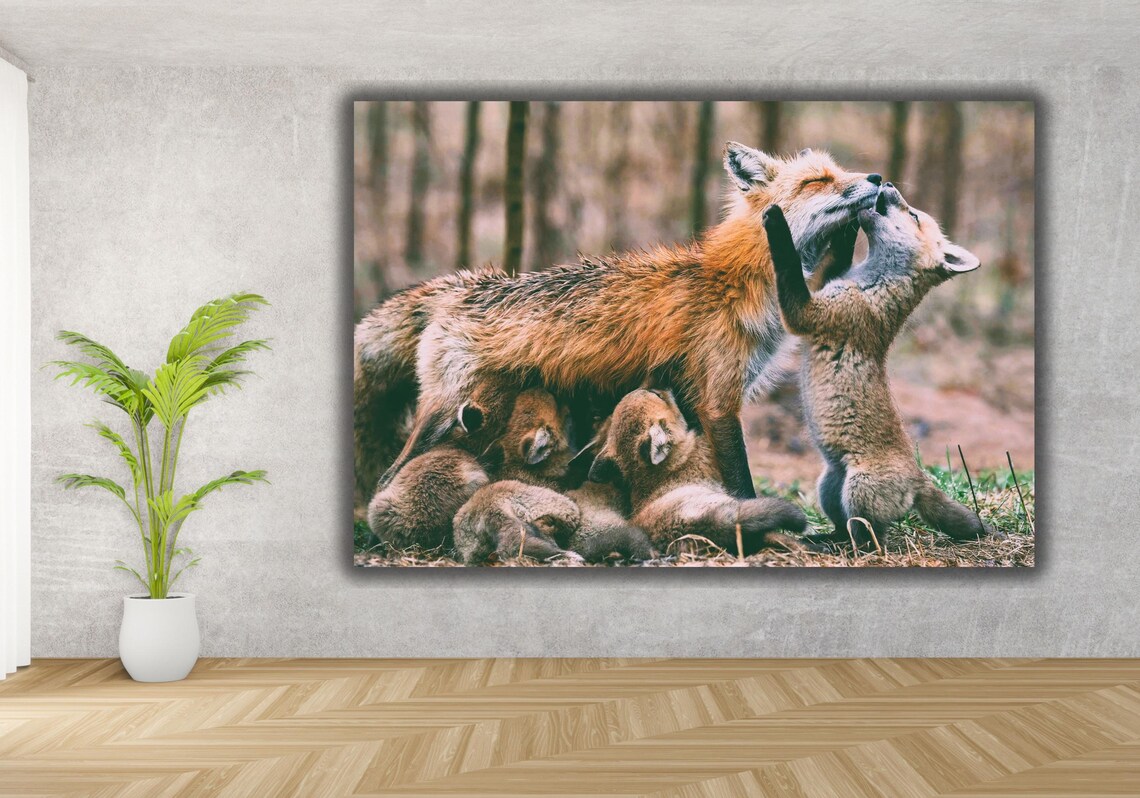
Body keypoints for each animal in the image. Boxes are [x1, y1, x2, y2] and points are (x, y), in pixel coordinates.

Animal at [370, 144, 883, 501]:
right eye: (818, 179)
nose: (878, 176)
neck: (736, 281)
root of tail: (460, 286)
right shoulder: (718, 400)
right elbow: (741, 479)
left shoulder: (691, 398)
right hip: (443, 415)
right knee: (387, 475)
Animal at [761, 184, 990, 548]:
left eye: (913, 215)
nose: (889, 185)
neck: (869, 285)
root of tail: (918, 477)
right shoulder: (823, 286)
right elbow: (831, 259)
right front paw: (846, 223)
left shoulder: (811, 312)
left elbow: (788, 266)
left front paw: (778, 221)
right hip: (830, 485)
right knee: (843, 528)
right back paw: (822, 540)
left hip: (858, 491)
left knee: (869, 541)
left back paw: (837, 549)